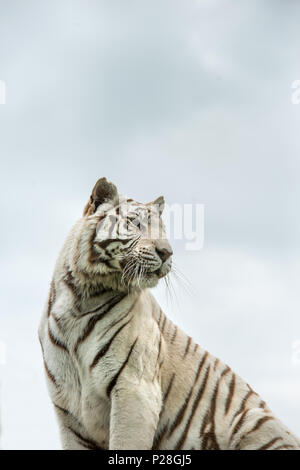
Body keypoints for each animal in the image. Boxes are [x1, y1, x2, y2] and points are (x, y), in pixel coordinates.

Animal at [38, 178, 298, 450]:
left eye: (163, 229)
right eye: (135, 223)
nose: (167, 252)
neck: (81, 299)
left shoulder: (135, 387)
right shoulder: (69, 407)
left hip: (252, 419)